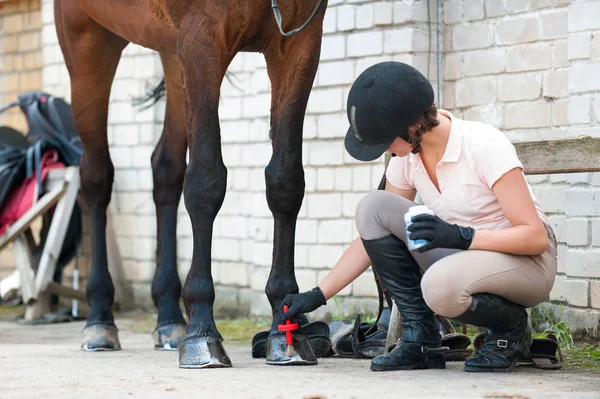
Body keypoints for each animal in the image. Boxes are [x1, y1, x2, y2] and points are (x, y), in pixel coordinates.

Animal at [53, 0, 328, 368]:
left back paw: (170, 319)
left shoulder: (300, 42)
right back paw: (99, 320)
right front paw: (201, 331)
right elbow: (205, 180)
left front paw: (287, 327)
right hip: (88, 39)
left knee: (165, 170)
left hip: (171, 52)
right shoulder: (203, 38)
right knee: (96, 177)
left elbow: (285, 180)